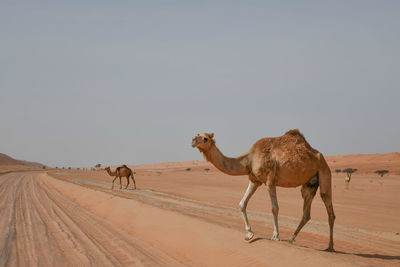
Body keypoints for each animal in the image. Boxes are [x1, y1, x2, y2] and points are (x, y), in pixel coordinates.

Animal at [192, 130, 336, 253]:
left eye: (205, 138)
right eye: (196, 134)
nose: (193, 141)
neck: (249, 159)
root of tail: (319, 155)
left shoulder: (269, 181)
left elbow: (274, 208)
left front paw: (275, 236)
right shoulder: (254, 180)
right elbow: (242, 203)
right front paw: (249, 234)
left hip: (324, 171)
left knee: (329, 208)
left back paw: (330, 247)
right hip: (309, 184)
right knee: (306, 212)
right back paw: (291, 238)